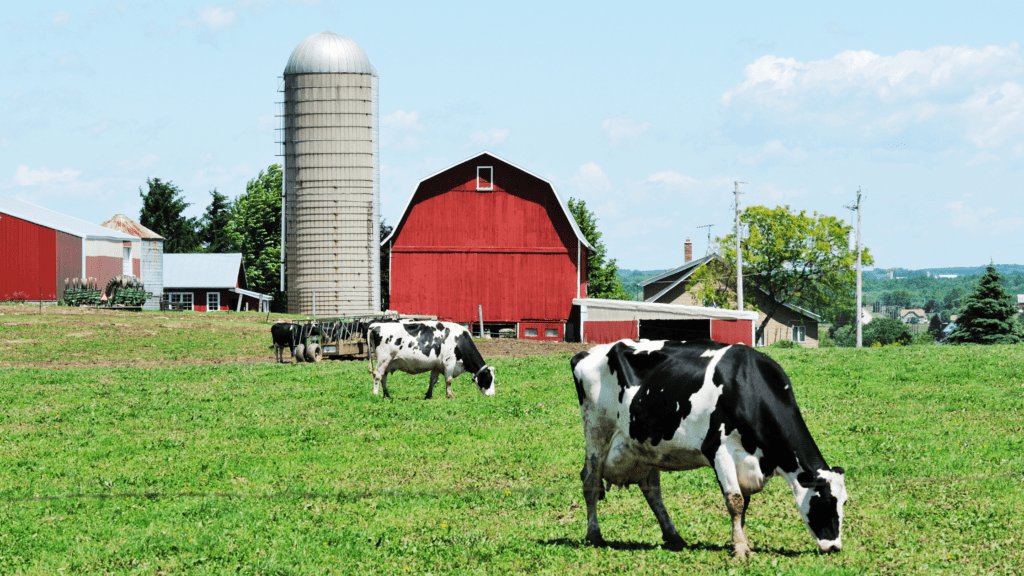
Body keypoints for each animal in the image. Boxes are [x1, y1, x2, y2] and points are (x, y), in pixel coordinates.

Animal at [569, 338, 847, 553]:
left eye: (844, 502)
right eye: (824, 501)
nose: (834, 547)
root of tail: (588, 352)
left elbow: (743, 504)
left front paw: (740, 542)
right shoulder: (719, 449)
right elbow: (735, 501)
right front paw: (741, 549)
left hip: (645, 446)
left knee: (652, 490)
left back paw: (674, 537)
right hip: (596, 432)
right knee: (590, 483)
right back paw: (594, 536)